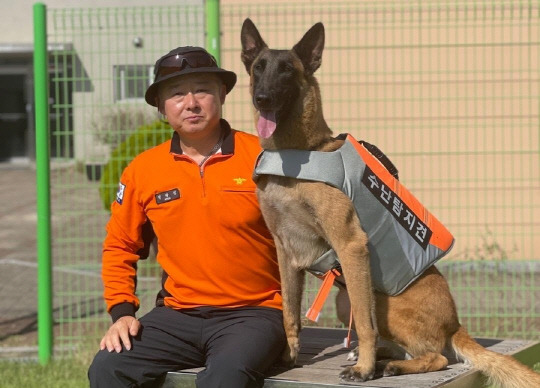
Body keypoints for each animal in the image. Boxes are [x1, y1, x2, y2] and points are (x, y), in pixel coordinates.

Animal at [240, 18, 540, 388]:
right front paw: (288, 358)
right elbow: (289, 315)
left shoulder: (350, 246)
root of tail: (455, 323)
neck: (297, 152)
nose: (262, 98)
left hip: (379, 300)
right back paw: (381, 359)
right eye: (258, 68)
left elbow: (365, 324)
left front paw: (364, 370)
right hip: (342, 298)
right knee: (401, 347)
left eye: (287, 70)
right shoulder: (286, 251)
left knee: (434, 356)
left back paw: (385, 365)